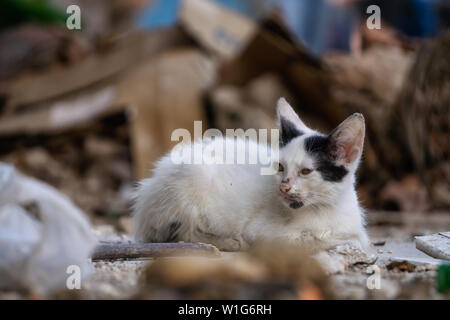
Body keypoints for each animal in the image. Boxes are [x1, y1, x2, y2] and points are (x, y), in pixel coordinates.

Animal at [134, 97, 370, 252]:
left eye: (305, 171)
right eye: (280, 167)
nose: (283, 187)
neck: (324, 208)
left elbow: (357, 236)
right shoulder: (262, 232)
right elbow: (308, 240)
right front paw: (341, 240)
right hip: (191, 177)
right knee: (182, 233)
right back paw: (227, 243)